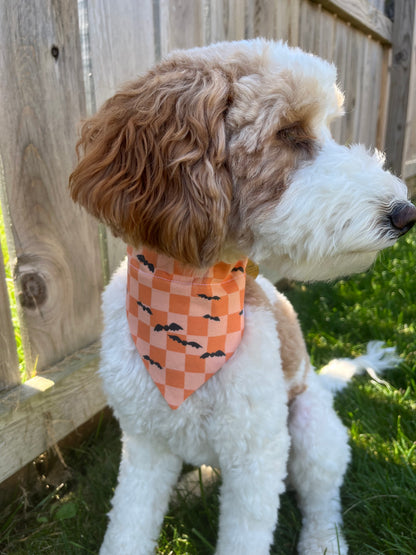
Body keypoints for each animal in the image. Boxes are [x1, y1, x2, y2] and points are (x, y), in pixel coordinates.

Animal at [69, 40, 416, 555]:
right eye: (289, 133)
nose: (405, 212)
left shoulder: (258, 456)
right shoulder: (145, 444)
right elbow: (127, 526)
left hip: (312, 429)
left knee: (323, 497)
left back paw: (323, 540)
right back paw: (193, 485)